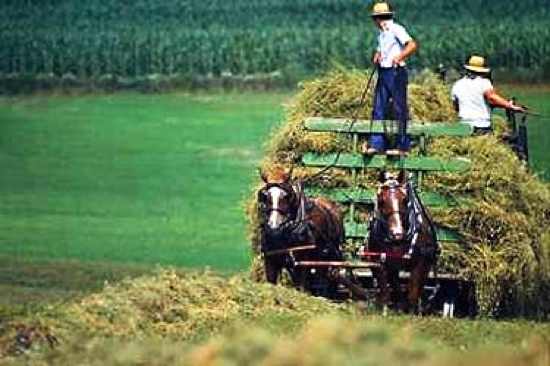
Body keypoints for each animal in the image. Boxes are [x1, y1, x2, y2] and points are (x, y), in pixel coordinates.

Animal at [258, 167, 344, 296]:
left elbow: (302, 287)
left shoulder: (302, 263)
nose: (274, 226)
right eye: (265, 196)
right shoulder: (270, 261)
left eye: (286, 196)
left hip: (326, 259)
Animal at [368, 170, 442, 314]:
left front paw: (411, 312)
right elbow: (385, 290)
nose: (397, 234)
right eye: (381, 200)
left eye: (404, 199)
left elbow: (413, 291)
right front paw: (385, 310)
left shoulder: (421, 263)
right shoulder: (379, 261)